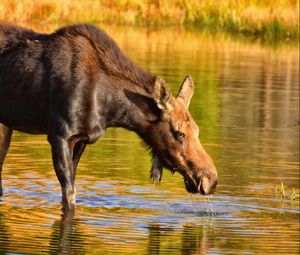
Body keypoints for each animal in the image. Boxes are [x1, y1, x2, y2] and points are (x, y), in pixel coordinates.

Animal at [0, 23, 217, 211]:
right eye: (180, 133)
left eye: (197, 130)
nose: (211, 180)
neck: (111, 108)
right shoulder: (60, 135)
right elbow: (69, 195)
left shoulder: (82, 139)